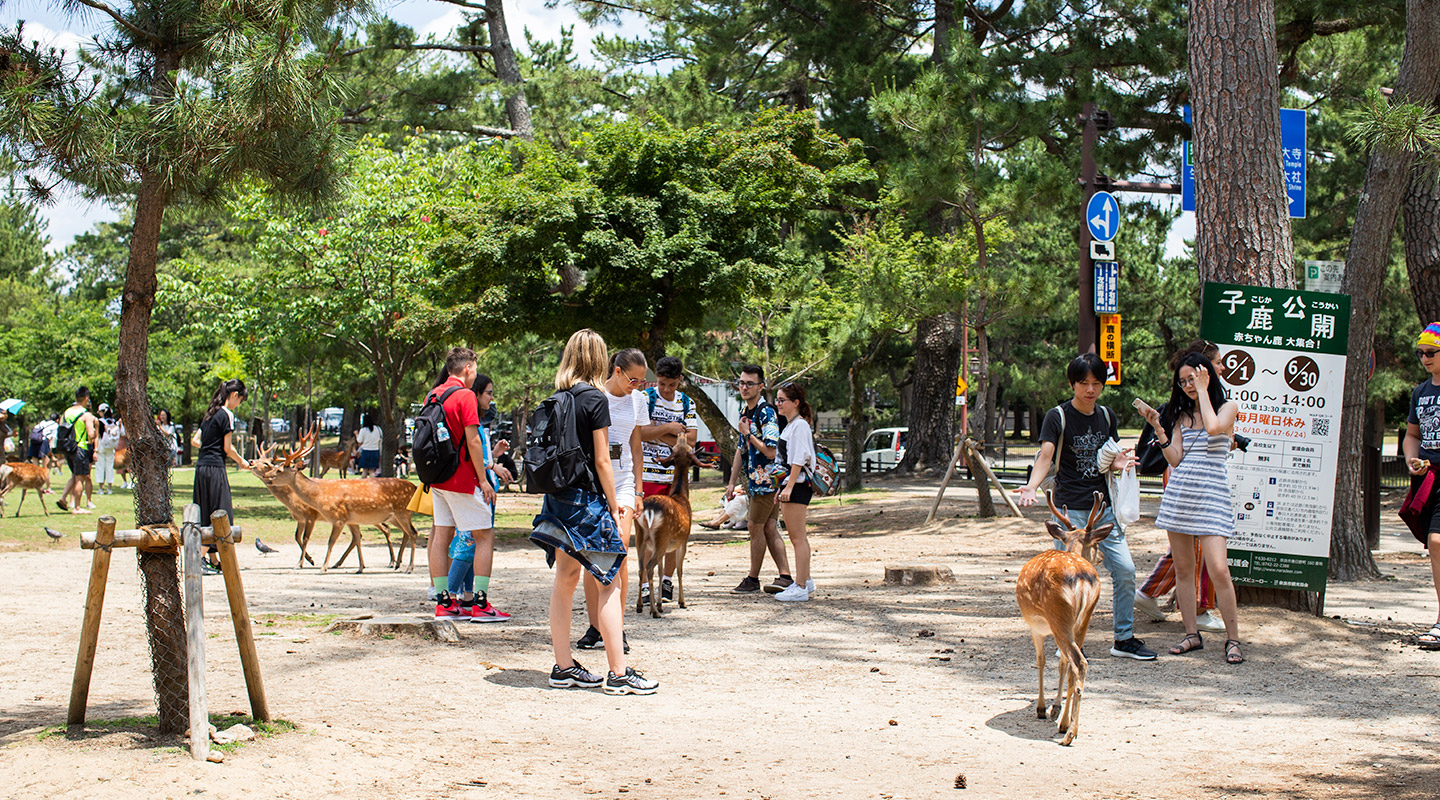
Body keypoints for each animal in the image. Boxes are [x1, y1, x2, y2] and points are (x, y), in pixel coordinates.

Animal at [636, 437, 696, 618]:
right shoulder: (683, 541)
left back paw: (640, 606)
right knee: (649, 567)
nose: (682, 435)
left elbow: (662, 571)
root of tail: (649, 511)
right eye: (686, 447)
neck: (681, 496)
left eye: (681, 446)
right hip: (662, 537)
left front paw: (661, 603)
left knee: (641, 568)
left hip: (641, 538)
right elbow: (680, 570)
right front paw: (682, 602)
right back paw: (654, 611)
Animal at [1013, 489, 1111, 748]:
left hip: (1059, 617)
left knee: (1079, 662)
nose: (1102, 556)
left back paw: (1070, 733)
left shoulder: (1035, 627)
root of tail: (1081, 577)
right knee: (1074, 667)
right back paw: (1065, 724)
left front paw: (1041, 708)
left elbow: (1041, 661)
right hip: (1083, 620)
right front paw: (1055, 708)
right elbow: (1061, 665)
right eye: (1097, 543)